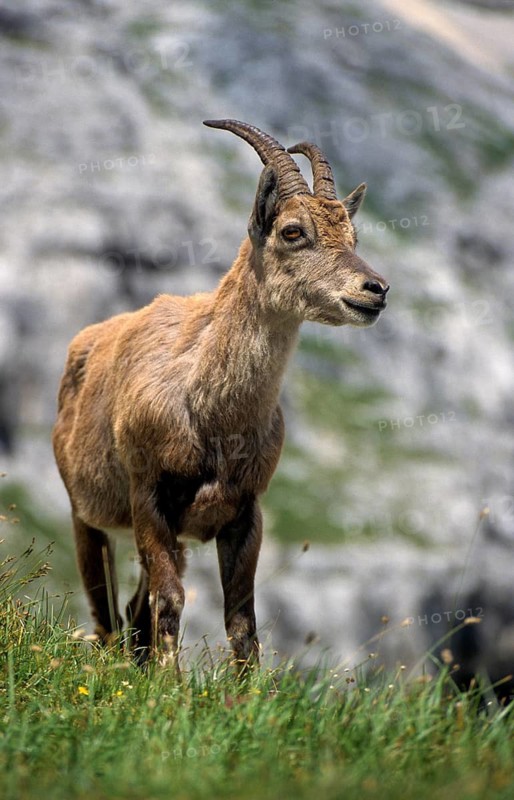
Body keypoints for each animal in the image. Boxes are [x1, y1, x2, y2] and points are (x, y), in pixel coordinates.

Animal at [52, 119, 389, 669]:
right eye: (292, 231)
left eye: (353, 234)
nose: (375, 289)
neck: (211, 412)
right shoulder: (149, 496)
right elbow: (170, 599)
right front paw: (170, 685)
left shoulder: (245, 511)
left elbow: (241, 619)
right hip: (88, 513)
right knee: (106, 610)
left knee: (133, 611)